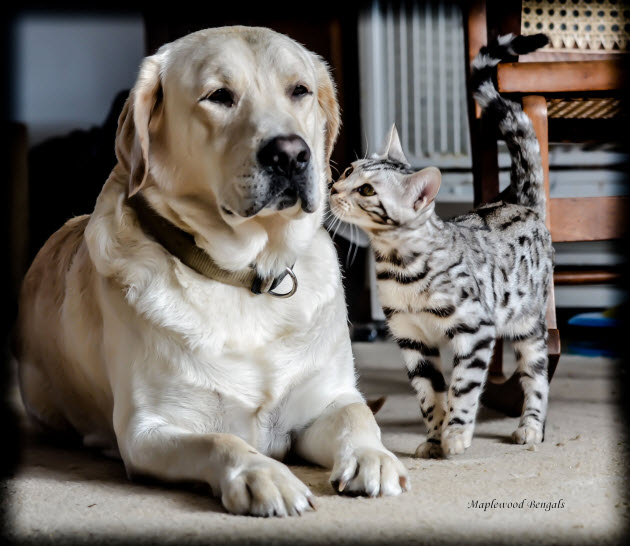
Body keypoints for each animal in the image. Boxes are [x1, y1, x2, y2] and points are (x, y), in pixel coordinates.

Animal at [16, 25, 410, 516]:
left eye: (299, 90)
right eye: (219, 96)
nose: (290, 154)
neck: (247, 278)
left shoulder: (323, 401)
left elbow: (358, 415)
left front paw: (373, 457)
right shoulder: (149, 429)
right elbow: (220, 441)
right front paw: (264, 476)